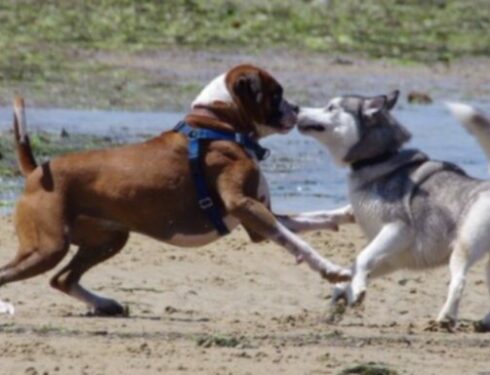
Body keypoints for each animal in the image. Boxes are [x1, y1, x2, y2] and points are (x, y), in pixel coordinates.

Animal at [0, 65, 352, 318]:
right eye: (276, 94)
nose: (296, 107)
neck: (217, 124)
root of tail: (36, 171)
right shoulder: (245, 206)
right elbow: (297, 242)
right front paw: (331, 269)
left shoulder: (258, 219)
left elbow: (314, 219)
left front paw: (347, 214)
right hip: (48, 247)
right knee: (17, 273)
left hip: (109, 240)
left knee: (62, 279)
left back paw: (103, 305)